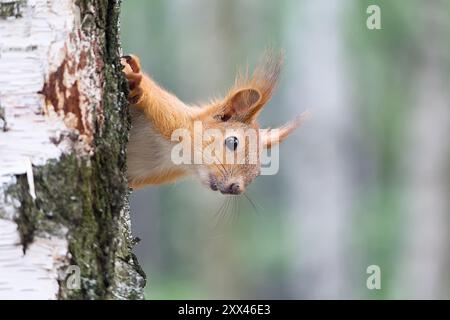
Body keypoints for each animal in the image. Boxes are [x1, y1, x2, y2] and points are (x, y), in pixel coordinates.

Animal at [121, 52, 308, 195]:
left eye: (258, 173)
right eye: (233, 142)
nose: (236, 188)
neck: (169, 152)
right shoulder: (166, 115)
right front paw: (136, 86)